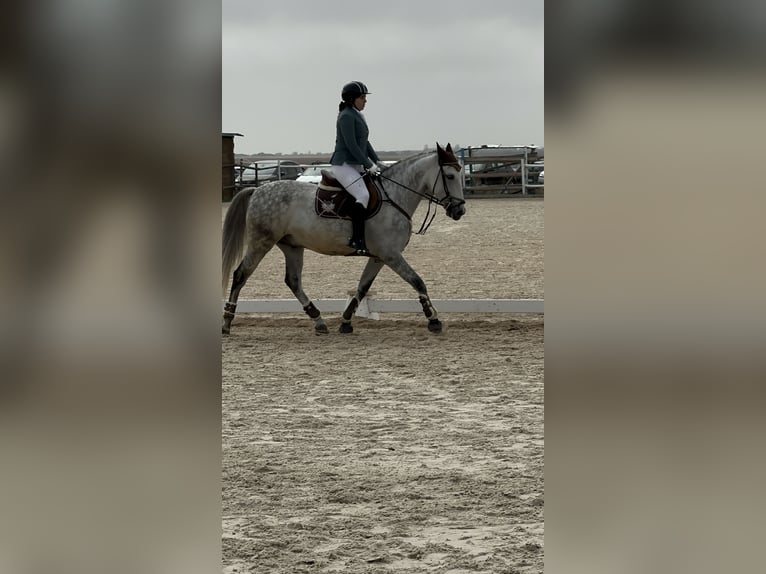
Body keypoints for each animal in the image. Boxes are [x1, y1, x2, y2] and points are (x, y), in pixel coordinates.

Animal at [222, 141, 468, 336]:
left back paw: (319, 321)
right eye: (449, 176)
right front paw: (433, 319)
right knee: (240, 275)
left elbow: (362, 287)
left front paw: (346, 322)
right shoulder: (391, 255)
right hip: (261, 243)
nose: (459, 211)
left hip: (292, 246)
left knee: (293, 281)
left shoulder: (379, 257)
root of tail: (257, 190)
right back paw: (227, 322)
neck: (394, 197)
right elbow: (417, 281)